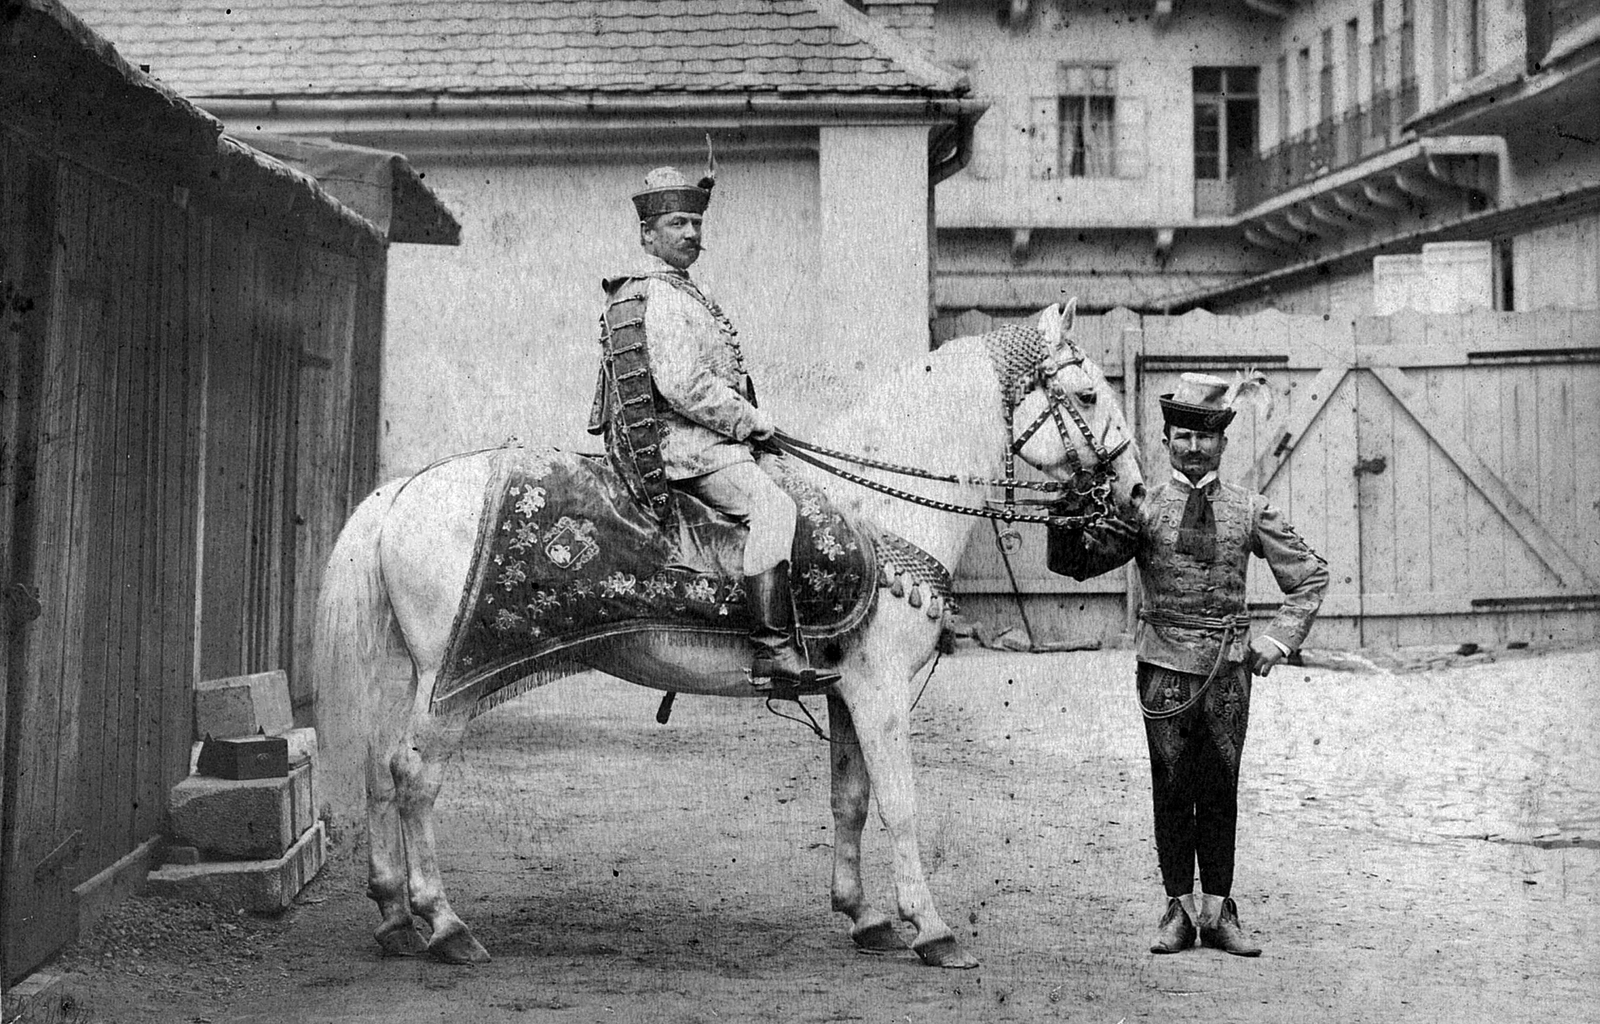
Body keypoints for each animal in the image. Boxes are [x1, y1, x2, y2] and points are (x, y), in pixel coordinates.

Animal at [308, 302, 1139, 966]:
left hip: (410, 673)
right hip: (452, 682)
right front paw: (931, 929)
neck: (875, 512)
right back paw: (444, 925)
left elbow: (849, 800)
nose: (1134, 494)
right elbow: (900, 804)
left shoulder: (845, 691)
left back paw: (394, 915)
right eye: (1088, 394)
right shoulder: (880, 690)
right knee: (414, 777)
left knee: (379, 767)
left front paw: (863, 916)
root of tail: (404, 489)